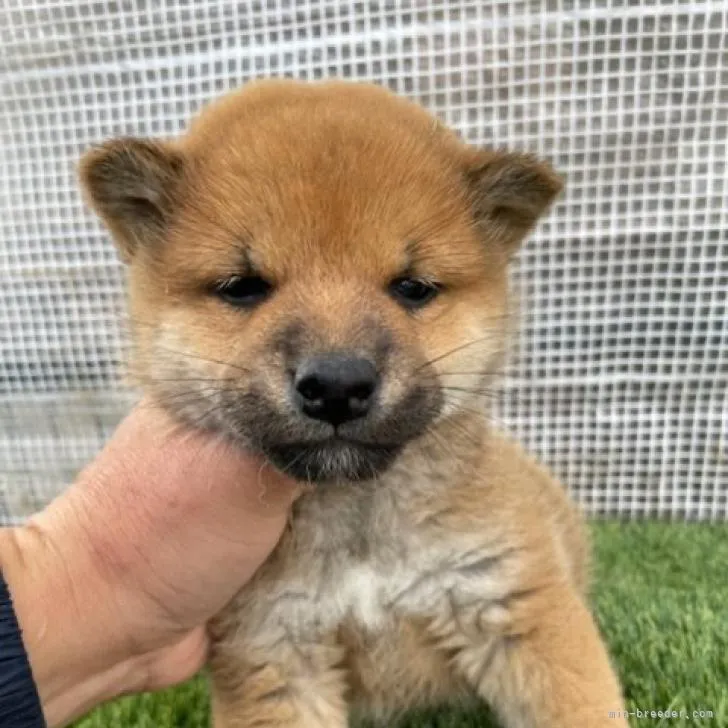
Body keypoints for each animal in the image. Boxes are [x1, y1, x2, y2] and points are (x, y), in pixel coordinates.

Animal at [78, 78, 624, 728]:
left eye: (412, 288)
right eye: (243, 287)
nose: (337, 384)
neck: (357, 526)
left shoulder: (509, 600)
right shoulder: (272, 648)